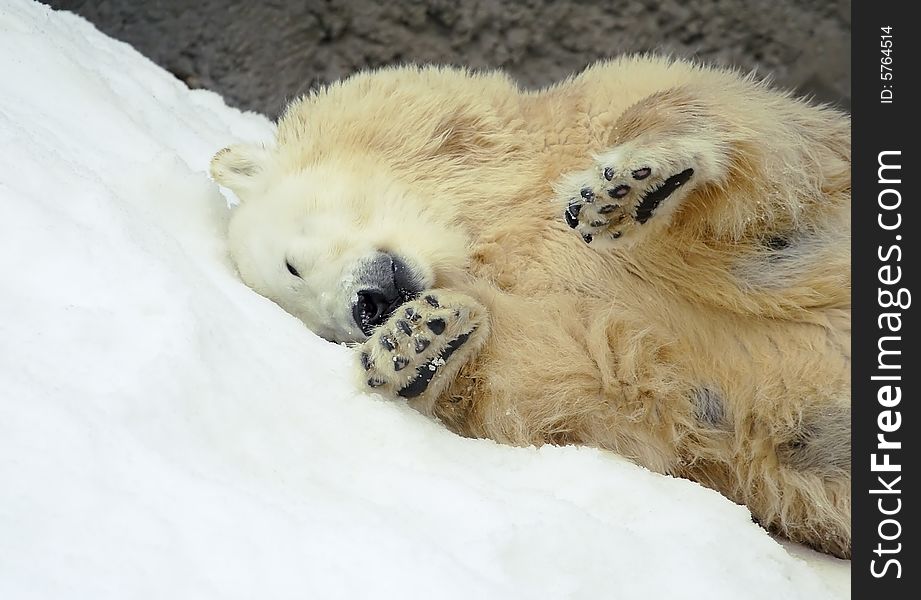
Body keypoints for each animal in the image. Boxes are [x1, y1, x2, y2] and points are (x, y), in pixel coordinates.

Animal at [212, 56, 852, 556]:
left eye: (293, 265)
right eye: (308, 317)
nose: (364, 310)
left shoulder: (586, 120)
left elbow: (772, 150)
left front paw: (634, 181)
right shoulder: (635, 353)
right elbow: (575, 371)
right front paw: (418, 339)